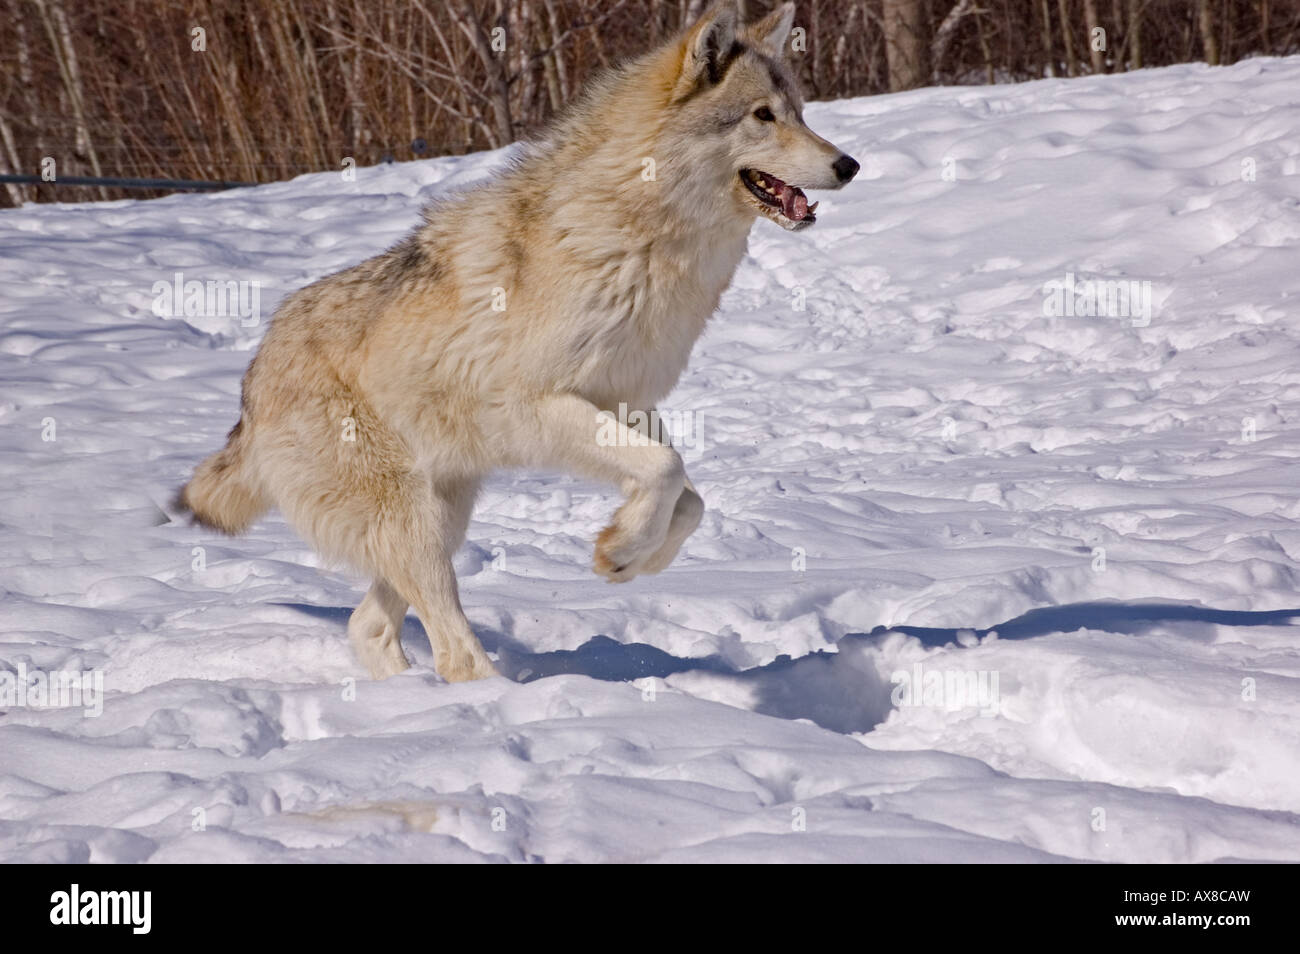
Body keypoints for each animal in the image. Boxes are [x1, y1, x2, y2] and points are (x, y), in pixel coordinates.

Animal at [177, 0, 859, 683]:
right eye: (763, 116)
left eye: (800, 111)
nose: (848, 165)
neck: (639, 239)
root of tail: (252, 380)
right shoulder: (536, 408)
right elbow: (667, 471)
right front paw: (620, 550)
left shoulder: (627, 401)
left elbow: (689, 498)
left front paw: (632, 558)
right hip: (416, 523)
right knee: (452, 650)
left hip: (441, 517)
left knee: (368, 626)